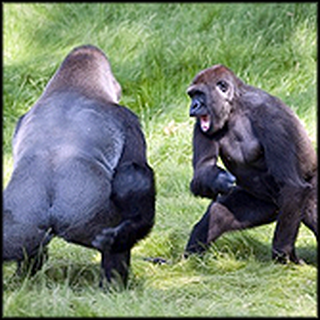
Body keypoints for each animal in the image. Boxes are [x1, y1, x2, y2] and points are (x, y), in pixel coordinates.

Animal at [3, 43, 156, 286]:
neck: (72, 85)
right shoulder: (128, 120)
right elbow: (133, 172)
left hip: (18, 225)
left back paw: (22, 279)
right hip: (89, 220)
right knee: (116, 242)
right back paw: (114, 285)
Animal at [185, 63, 318, 264]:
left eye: (200, 94)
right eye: (192, 95)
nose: (193, 106)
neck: (235, 107)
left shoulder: (271, 118)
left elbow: (292, 184)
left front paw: (282, 254)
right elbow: (203, 170)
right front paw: (218, 180)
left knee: (310, 208)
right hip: (269, 206)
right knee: (218, 213)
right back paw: (188, 261)